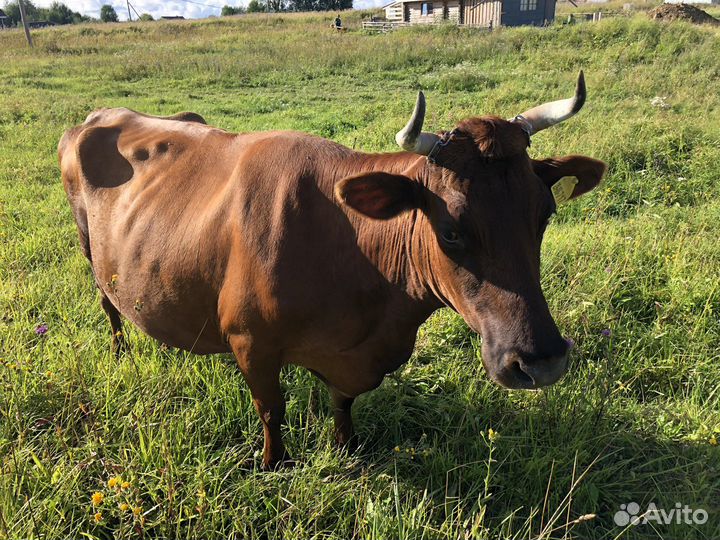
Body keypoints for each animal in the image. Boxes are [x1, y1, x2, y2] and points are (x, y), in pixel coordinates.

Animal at [58, 72, 606, 469]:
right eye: (450, 230)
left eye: (545, 214)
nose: (542, 361)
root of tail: (100, 114)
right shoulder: (249, 341)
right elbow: (271, 409)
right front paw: (273, 464)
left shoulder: (352, 358)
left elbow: (343, 404)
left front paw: (346, 449)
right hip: (90, 249)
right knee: (108, 304)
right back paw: (121, 351)